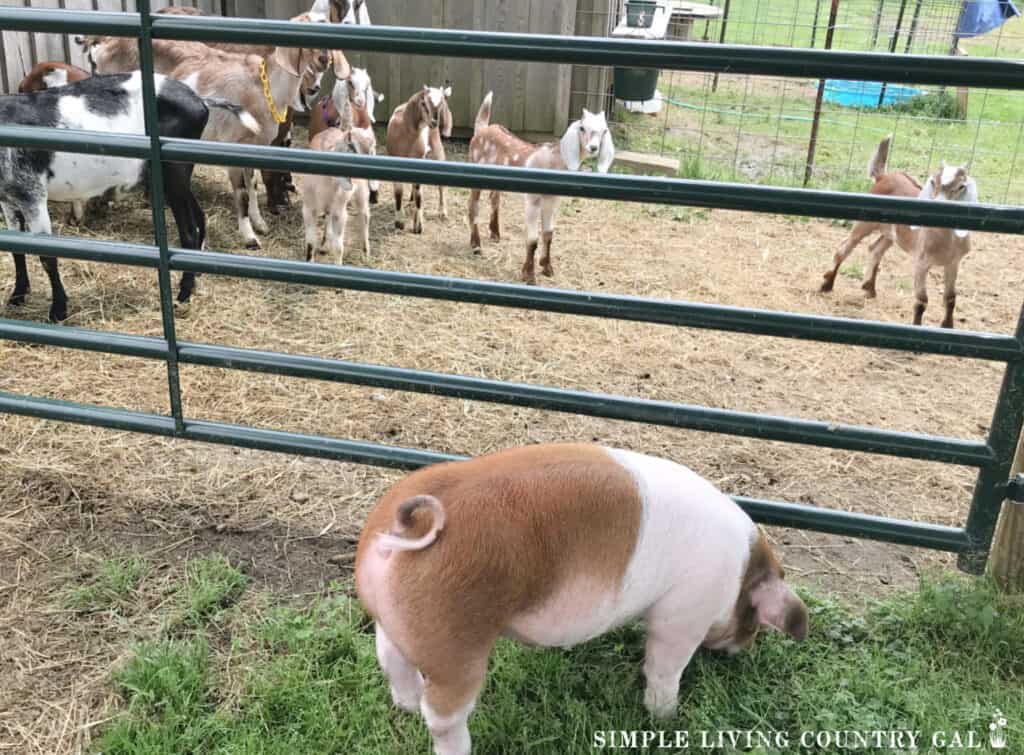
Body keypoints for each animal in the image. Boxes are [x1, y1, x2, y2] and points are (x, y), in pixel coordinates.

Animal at [1, 73, 256, 323]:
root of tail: (200, 100)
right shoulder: (8, 199)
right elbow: (16, 248)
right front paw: (17, 296)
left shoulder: (32, 194)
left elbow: (47, 256)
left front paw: (58, 311)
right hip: (175, 175)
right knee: (199, 215)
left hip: (173, 169)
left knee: (188, 232)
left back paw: (183, 295)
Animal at [354, 442, 806, 753]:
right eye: (754, 623)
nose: (741, 650)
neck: (741, 573)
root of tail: (403, 527)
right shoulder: (683, 614)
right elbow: (664, 668)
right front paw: (666, 718)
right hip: (457, 644)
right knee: (442, 714)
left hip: (394, 620)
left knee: (389, 657)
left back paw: (406, 703)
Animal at [385, 84, 452, 234]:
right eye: (423, 103)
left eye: (441, 104)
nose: (434, 122)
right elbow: (398, 192)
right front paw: (399, 222)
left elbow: (419, 193)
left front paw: (418, 225)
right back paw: (410, 201)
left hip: (437, 149)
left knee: (440, 186)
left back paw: (442, 212)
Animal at [466, 94, 614, 282]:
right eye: (582, 127)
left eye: (604, 131)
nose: (593, 148)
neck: (554, 160)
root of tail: (482, 129)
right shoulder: (533, 200)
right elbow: (532, 239)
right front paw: (529, 275)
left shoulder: (552, 200)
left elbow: (549, 234)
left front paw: (547, 267)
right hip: (474, 172)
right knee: (473, 206)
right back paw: (476, 246)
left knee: (494, 198)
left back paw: (495, 233)